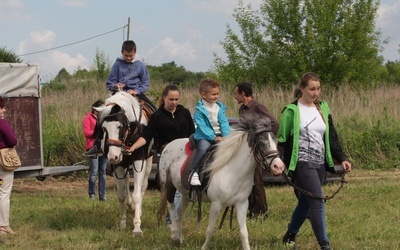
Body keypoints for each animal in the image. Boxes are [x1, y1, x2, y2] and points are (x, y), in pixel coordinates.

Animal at [156, 114, 284, 250]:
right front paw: (204, 247)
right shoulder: (216, 204)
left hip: (185, 193)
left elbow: (244, 233)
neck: (233, 172)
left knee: (180, 212)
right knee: (171, 206)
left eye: (276, 142)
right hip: (169, 187)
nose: (278, 167)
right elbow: (210, 230)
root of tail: (167, 145)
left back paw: (179, 239)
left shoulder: (242, 204)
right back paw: (174, 235)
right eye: (261, 142)